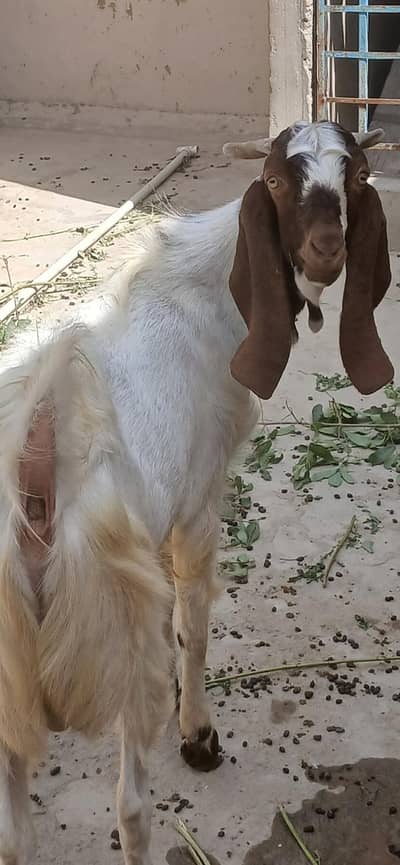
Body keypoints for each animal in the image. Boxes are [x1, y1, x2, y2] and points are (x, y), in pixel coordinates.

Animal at [0, 120, 394, 865]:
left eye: (356, 174)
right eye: (275, 180)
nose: (326, 250)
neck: (207, 287)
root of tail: (35, 469)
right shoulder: (200, 497)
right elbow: (194, 624)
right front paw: (199, 734)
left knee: (13, 835)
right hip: (117, 643)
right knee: (130, 809)